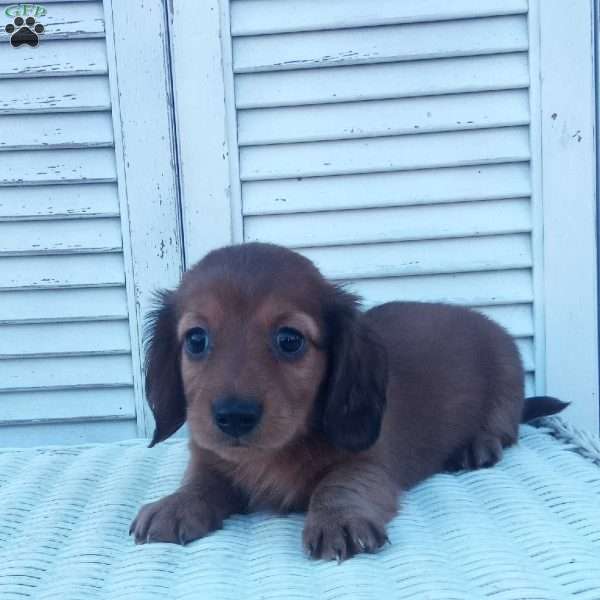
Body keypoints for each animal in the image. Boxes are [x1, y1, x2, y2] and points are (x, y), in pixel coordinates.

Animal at [131, 241, 568, 560]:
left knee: (505, 429)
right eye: (196, 339)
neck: (274, 452)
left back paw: (477, 445)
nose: (234, 417)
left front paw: (338, 519)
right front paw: (176, 504)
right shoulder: (211, 458)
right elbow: (201, 481)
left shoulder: (370, 463)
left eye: (289, 340)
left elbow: (339, 483)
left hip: (506, 378)